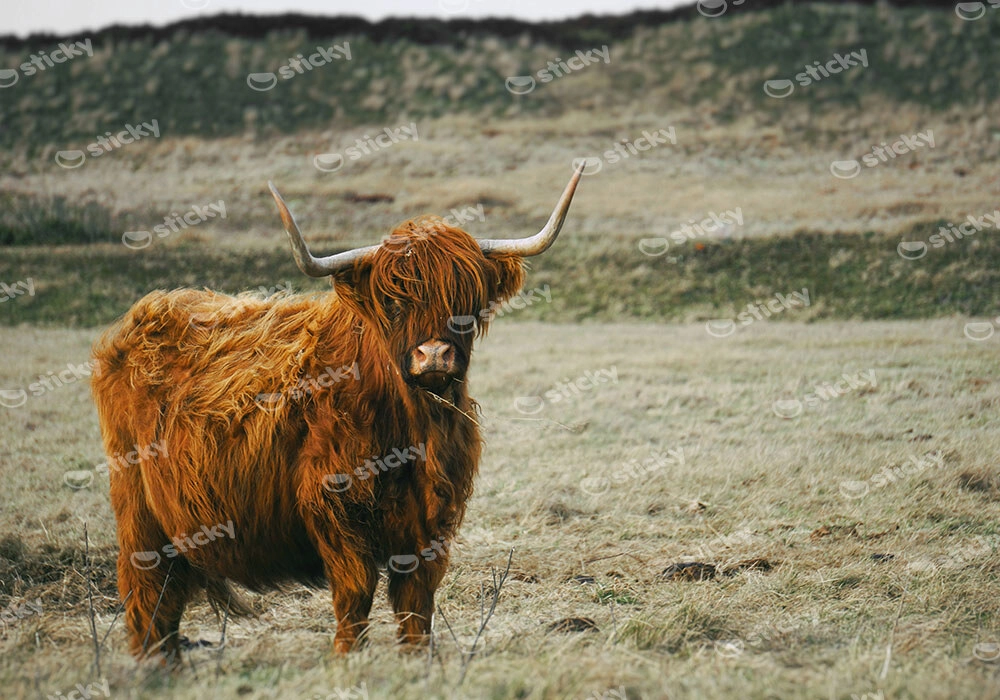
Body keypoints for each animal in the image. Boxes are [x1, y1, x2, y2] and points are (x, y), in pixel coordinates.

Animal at [90, 163, 584, 663]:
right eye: (393, 302)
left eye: (467, 300)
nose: (434, 356)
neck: (412, 430)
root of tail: (147, 312)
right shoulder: (334, 506)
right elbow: (355, 591)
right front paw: (348, 657)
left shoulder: (432, 520)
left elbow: (416, 600)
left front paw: (416, 658)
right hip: (138, 508)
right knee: (148, 592)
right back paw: (153, 665)